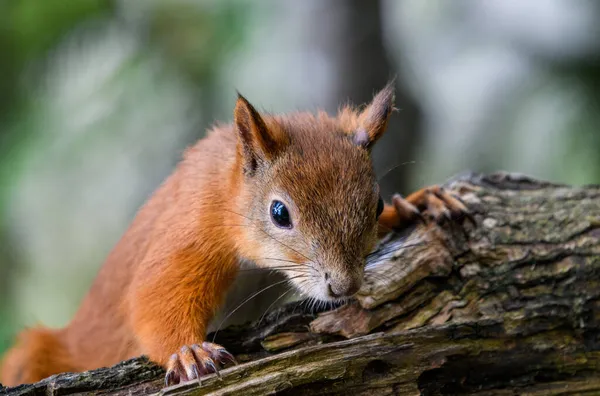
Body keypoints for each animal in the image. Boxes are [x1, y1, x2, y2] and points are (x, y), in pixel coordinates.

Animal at [1, 83, 468, 386]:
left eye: (374, 204)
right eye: (279, 212)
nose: (343, 286)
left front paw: (416, 203)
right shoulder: (191, 228)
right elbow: (153, 295)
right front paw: (188, 352)